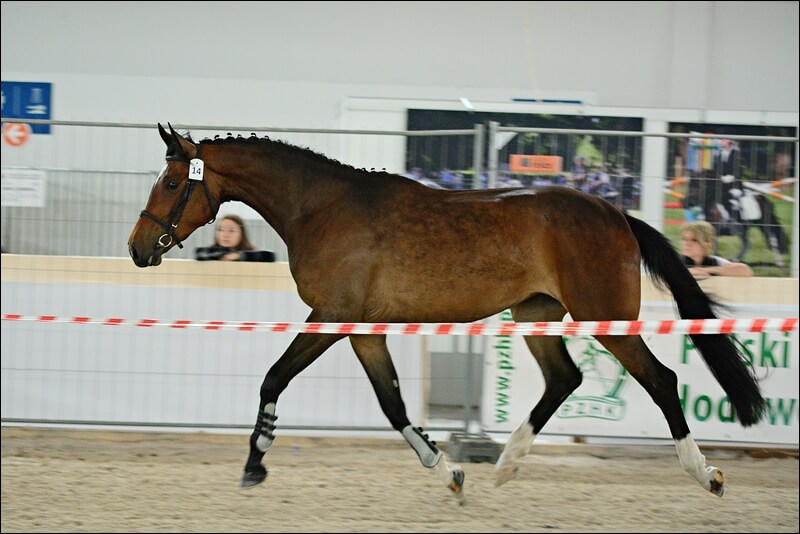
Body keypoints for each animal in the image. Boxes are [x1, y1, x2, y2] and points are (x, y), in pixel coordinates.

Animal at [128, 124, 764, 502]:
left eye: (170, 182)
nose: (137, 249)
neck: (320, 208)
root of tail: (615, 214)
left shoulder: (330, 316)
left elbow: (273, 378)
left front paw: (255, 464)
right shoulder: (362, 329)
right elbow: (392, 404)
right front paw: (448, 469)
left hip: (604, 317)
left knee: (662, 379)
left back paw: (705, 473)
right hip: (534, 314)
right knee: (565, 378)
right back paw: (505, 464)